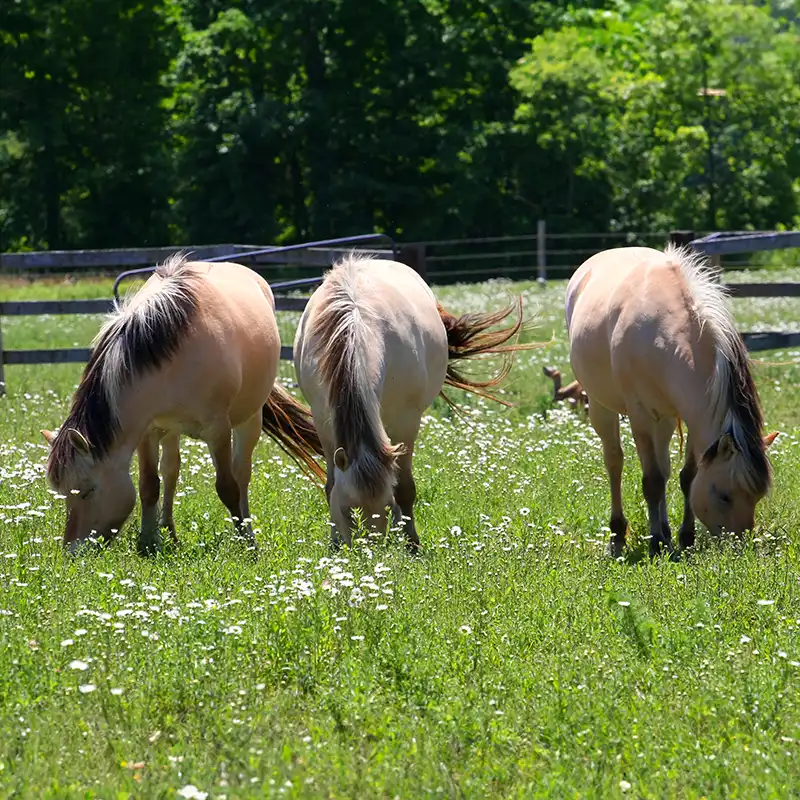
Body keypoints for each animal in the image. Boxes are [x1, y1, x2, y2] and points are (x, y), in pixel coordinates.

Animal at [42, 254, 324, 554]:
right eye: (62, 493)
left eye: (87, 491)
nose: (72, 551)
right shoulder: (148, 430)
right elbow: (149, 485)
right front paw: (147, 541)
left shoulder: (218, 430)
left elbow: (228, 487)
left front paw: (246, 543)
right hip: (171, 429)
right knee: (171, 470)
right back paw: (168, 529)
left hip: (250, 419)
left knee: (241, 473)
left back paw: (245, 528)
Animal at [293, 254, 535, 551]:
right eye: (348, 511)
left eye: (385, 508)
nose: (369, 555)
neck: (354, 327)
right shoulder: (323, 421)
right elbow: (329, 486)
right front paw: (336, 543)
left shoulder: (406, 421)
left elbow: (404, 488)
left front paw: (411, 544)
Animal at [566, 244, 778, 559]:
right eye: (724, 496)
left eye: (757, 496)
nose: (740, 546)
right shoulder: (640, 416)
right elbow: (652, 480)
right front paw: (656, 542)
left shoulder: (689, 416)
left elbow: (687, 476)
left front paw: (684, 536)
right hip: (602, 406)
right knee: (614, 462)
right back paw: (618, 536)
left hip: (664, 419)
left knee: (664, 467)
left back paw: (664, 529)